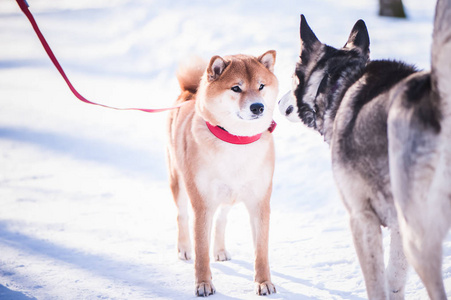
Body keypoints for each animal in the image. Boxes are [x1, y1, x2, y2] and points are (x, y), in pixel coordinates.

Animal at [166, 50, 278, 296]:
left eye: (261, 86)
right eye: (236, 88)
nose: (258, 107)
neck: (236, 141)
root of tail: (188, 92)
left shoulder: (260, 203)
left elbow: (261, 251)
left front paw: (263, 282)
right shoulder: (202, 204)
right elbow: (201, 252)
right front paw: (203, 284)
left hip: (230, 195)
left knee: (221, 219)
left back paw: (219, 250)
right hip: (179, 182)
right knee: (182, 215)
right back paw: (184, 248)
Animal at [278, 1, 451, 298]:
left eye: (291, 78)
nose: (278, 103)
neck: (337, 81)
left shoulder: (362, 219)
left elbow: (378, 285)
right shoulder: (395, 229)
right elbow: (394, 282)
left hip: (417, 236)